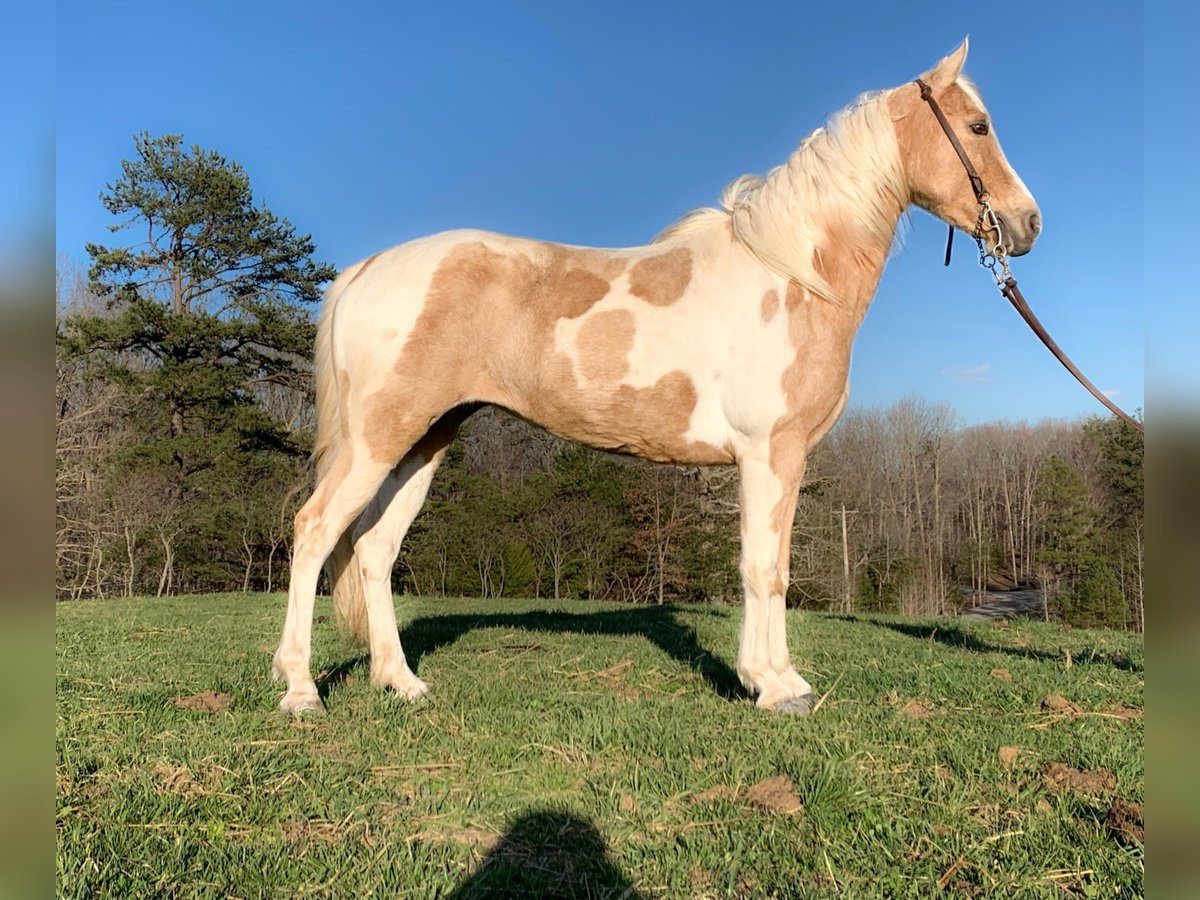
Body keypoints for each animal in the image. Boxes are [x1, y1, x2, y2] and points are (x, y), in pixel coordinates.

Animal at [272, 38, 1041, 720]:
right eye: (978, 126)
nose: (1026, 223)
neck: (791, 274)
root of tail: (366, 268)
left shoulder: (779, 459)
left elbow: (773, 568)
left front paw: (780, 679)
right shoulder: (770, 454)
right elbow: (765, 569)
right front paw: (774, 686)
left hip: (423, 441)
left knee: (374, 548)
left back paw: (400, 682)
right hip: (378, 440)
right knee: (314, 531)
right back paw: (301, 691)